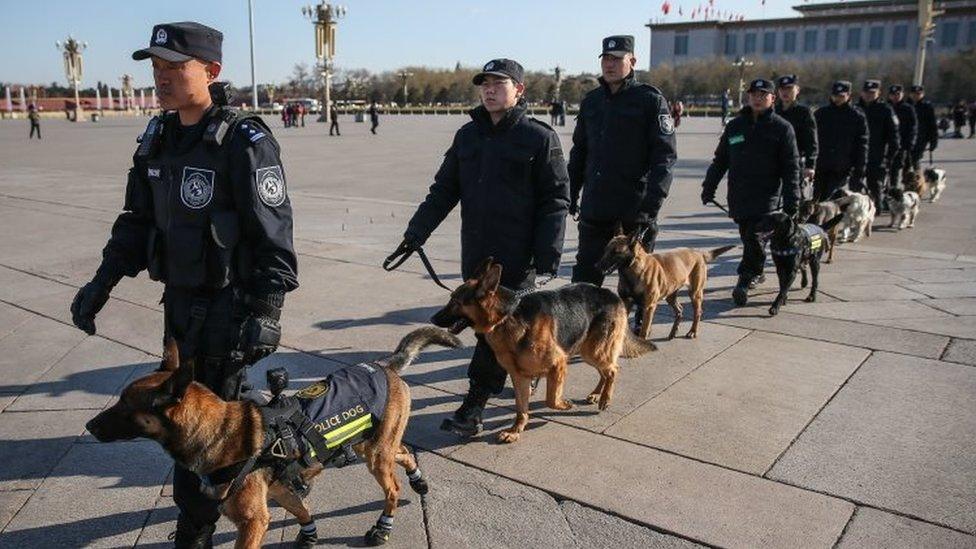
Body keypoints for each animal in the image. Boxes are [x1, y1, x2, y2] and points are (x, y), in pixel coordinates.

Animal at [87, 328, 462, 544]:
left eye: (125, 406)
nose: (89, 427)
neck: (219, 430)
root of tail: (384, 365)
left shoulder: (252, 521)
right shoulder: (279, 492)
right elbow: (301, 509)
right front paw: (308, 534)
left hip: (375, 456)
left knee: (392, 488)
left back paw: (383, 525)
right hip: (369, 446)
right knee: (404, 452)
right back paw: (418, 479)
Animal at [432, 260, 656, 444]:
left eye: (456, 302)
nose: (433, 319)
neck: (507, 317)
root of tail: (613, 295)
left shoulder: (558, 364)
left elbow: (551, 399)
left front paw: (564, 405)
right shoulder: (519, 377)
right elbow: (521, 408)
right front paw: (515, 431)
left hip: (595, 350)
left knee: (613, 369)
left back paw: (605, 399)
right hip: (588, 351)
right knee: (606, 371)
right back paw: (595, 394)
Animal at [596, 232, 732, 340]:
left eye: (615, 252)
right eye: (605, 249)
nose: (597, 266)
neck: (631, 270)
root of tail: (697, 252)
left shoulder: (649, 307)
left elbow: (644, 329)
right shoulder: (626, 302)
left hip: (695, 293)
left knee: (697, 312)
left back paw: (692, 331)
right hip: (670, 295)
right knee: (679, 310)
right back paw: (673, 332)